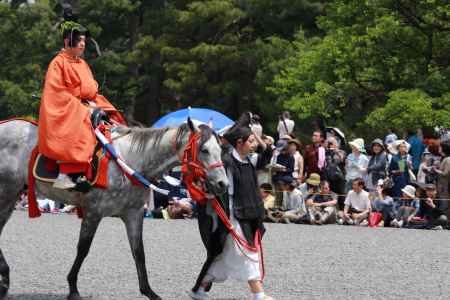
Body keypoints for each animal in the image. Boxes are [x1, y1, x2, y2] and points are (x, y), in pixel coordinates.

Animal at [0, 118, 229, 298]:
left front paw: (148, 291)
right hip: (7, 193)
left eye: (221, 150)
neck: (133, 162)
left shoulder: (134, 214)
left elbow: (139, 252)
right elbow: (83, 249)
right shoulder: (94, 211)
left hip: (11, 196)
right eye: (204, 150)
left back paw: (5, 278)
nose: (223, 184)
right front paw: (73, 287)